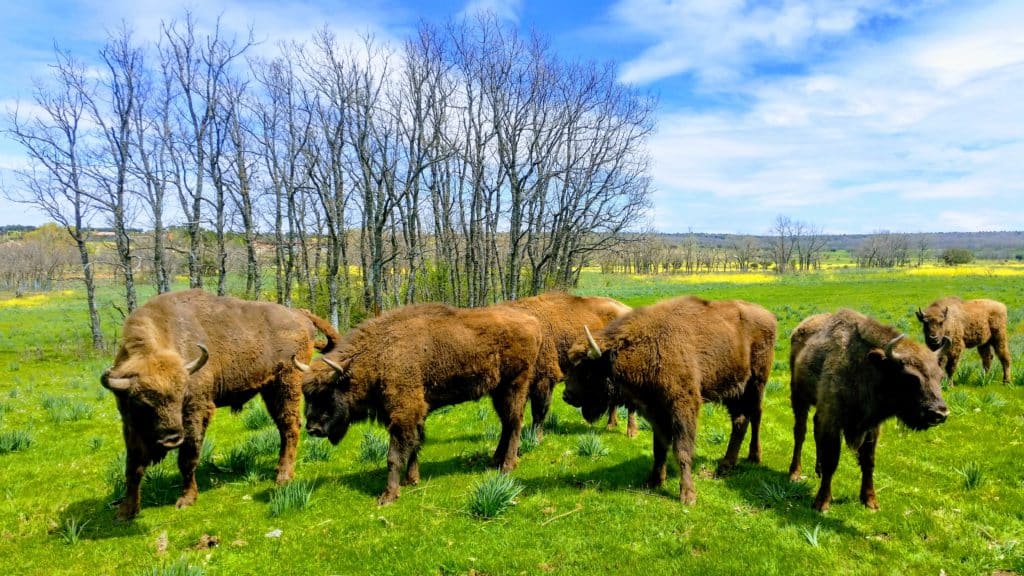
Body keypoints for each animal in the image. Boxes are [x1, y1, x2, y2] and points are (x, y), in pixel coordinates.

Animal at [97, 289, 335, 518]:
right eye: (142, 403)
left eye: (181, 396)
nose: (172, 438)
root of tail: (299, 314)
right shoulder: (130, 424)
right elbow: (133, 466)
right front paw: (126, 511)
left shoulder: (196, 413)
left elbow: (187, 459)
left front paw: (186, 499)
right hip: (270, 390)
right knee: (283, 428)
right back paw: (279, 470)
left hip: (287, 384)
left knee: (290, 426)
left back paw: (284, 476)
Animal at [296, 301, 552, 502]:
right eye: (307, 395)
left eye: (328, 392)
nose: (313, 428)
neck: (379, 353)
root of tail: (533, 323)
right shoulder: (415, 413)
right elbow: (415, 444)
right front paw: (411, 480)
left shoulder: (404, 413)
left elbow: (395, 455)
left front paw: (388, 496)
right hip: (498, 391)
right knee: (507, 424)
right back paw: (494, 461)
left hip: (514, 385)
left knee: (515, 422)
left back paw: (507, 466)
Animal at [561, 295, 774, 502]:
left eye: (587, 370)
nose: (567, 395)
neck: (649, 344)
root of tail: (768, 315)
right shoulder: (656, 412)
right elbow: (659, 447)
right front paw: (654, 481)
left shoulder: (683, 407)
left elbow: (682, 449)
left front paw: (687, 495)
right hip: (734, 390)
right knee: (740, 421)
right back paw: (724, 467)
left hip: (756, 383)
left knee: (755, 416)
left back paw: (754, 457)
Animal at [790, 309, 950, 510]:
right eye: (911, 377)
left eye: (940, 377)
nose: (940, 413)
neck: (868, 366)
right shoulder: (833, 419)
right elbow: (832, 460)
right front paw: (822, 503)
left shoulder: (871, 426)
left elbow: (868, 461)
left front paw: (870, 501)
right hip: (799, 397)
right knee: (800, 433)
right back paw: (794, 473)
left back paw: (816, 469)